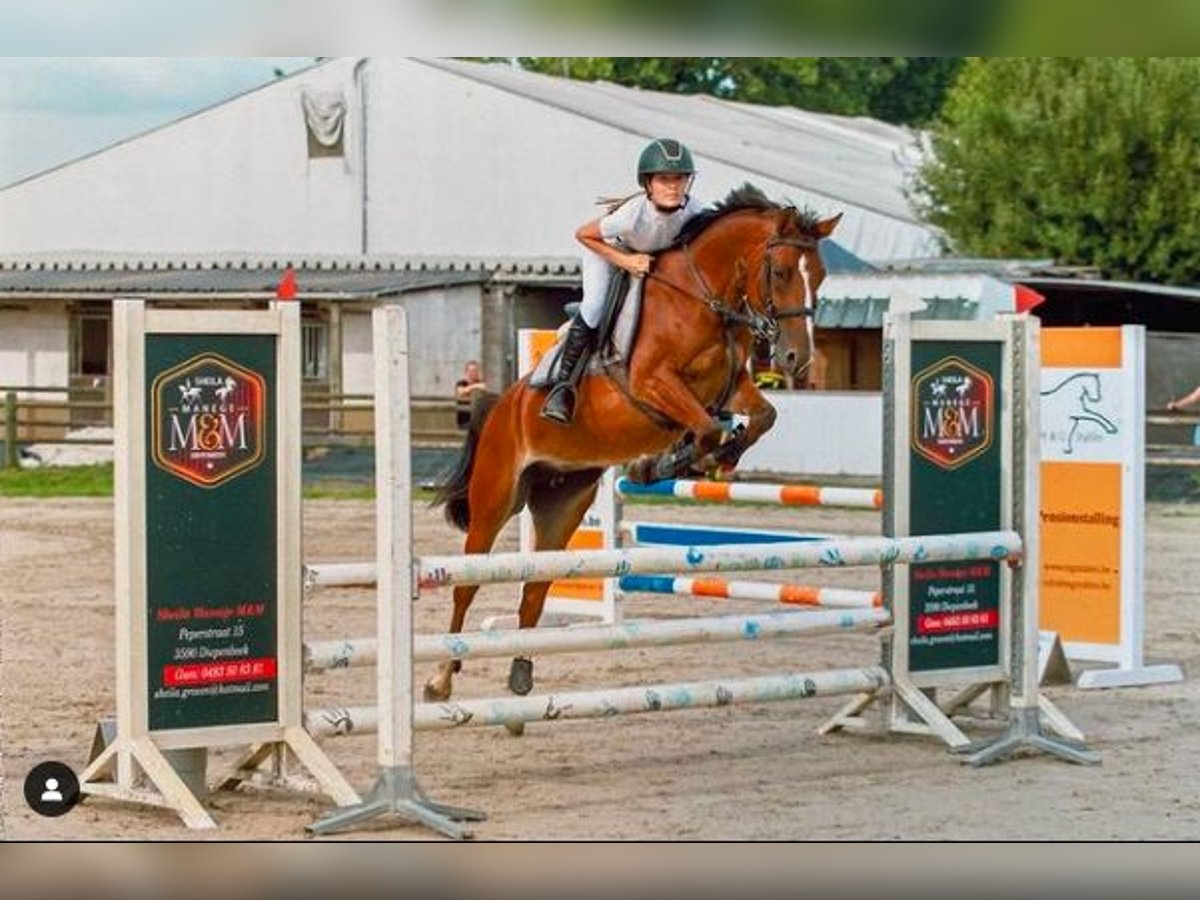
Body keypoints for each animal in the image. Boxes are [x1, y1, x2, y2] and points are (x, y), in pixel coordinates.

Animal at [434, 184, 844, 705]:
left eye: (821, 276)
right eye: (782, 271)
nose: (796, 359)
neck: (701, 297)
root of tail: (500, 404)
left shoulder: (729, 388)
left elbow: (760, 417)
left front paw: (711, 457)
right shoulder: (653, 382)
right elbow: (707, 428)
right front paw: (667, 462)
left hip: (561, 503)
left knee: (535, 591)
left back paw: (521, 675)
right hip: (495, 499)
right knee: (466, 585)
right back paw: (439, 679)